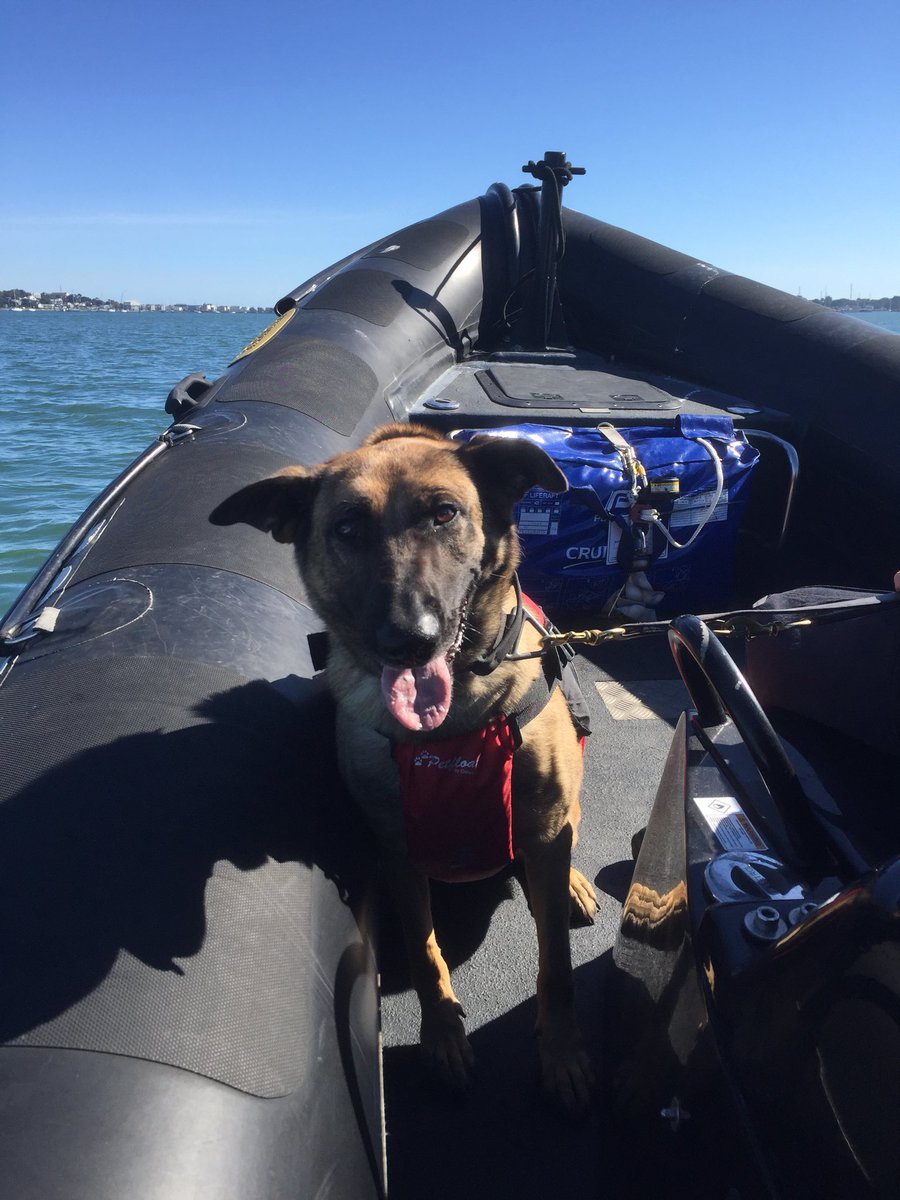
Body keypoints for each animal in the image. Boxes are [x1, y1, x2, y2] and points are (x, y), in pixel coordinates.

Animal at [211, 424, 600, 1113]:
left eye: (445, 513)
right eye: (346, 529)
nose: (408, 640)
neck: (455, 726)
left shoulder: (544, 826)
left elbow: (555, 962)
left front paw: (561, 1051)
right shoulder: (397, 847)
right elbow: (423, 950)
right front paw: (441, 1036)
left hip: (558, 819)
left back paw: (572, 884)